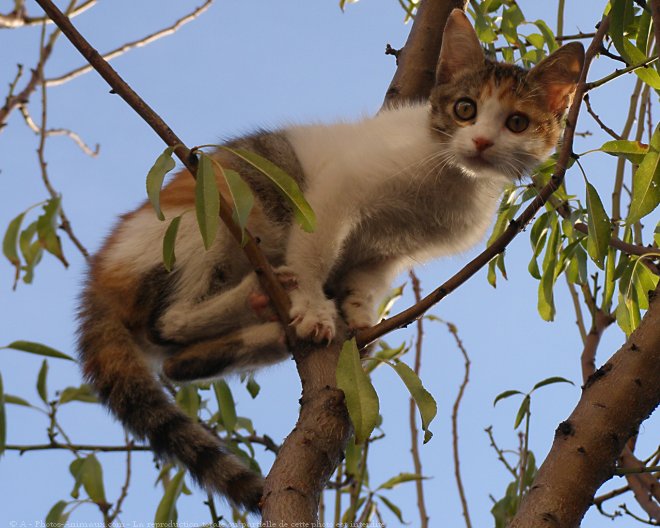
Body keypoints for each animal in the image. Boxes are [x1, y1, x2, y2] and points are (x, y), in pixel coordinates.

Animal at [76, 7, 584, 512]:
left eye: (516, 122)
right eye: (466, 109)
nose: (480, 143)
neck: (446, 177)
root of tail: (98, 277)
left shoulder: (392, 250)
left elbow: (369, 277)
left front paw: (358, 313)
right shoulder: (336, 190)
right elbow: (315, 252)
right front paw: (316, 309)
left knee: (175, 364)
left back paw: (267, 330)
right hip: (206, 216)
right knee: (170, 321)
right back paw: (259, 293)